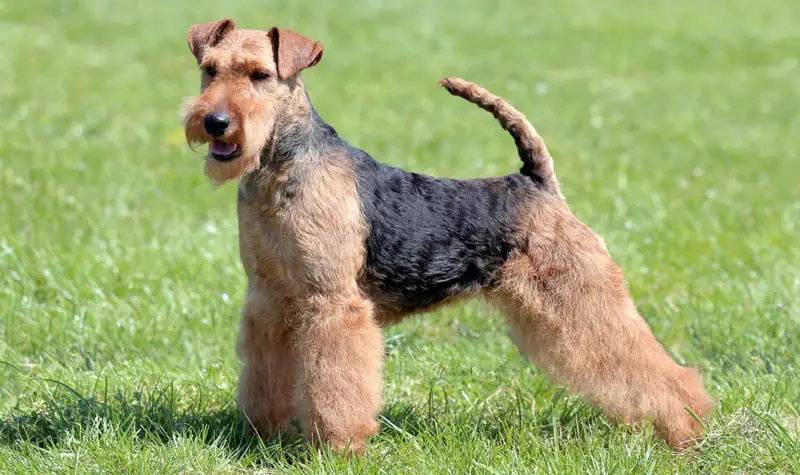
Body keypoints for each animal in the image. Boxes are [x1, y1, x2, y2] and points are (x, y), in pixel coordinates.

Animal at [183, 18, 712, 456]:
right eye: (210, 70)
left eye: (260, 75)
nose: (215, 123)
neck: (280, 169)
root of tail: (537, 181)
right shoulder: (269, 299)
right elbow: (263, 376)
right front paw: (260, 435)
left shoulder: (332, 304)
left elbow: (336, 386)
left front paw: (338, 448)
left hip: (582, 296)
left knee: (661, 370)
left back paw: (685, 431)